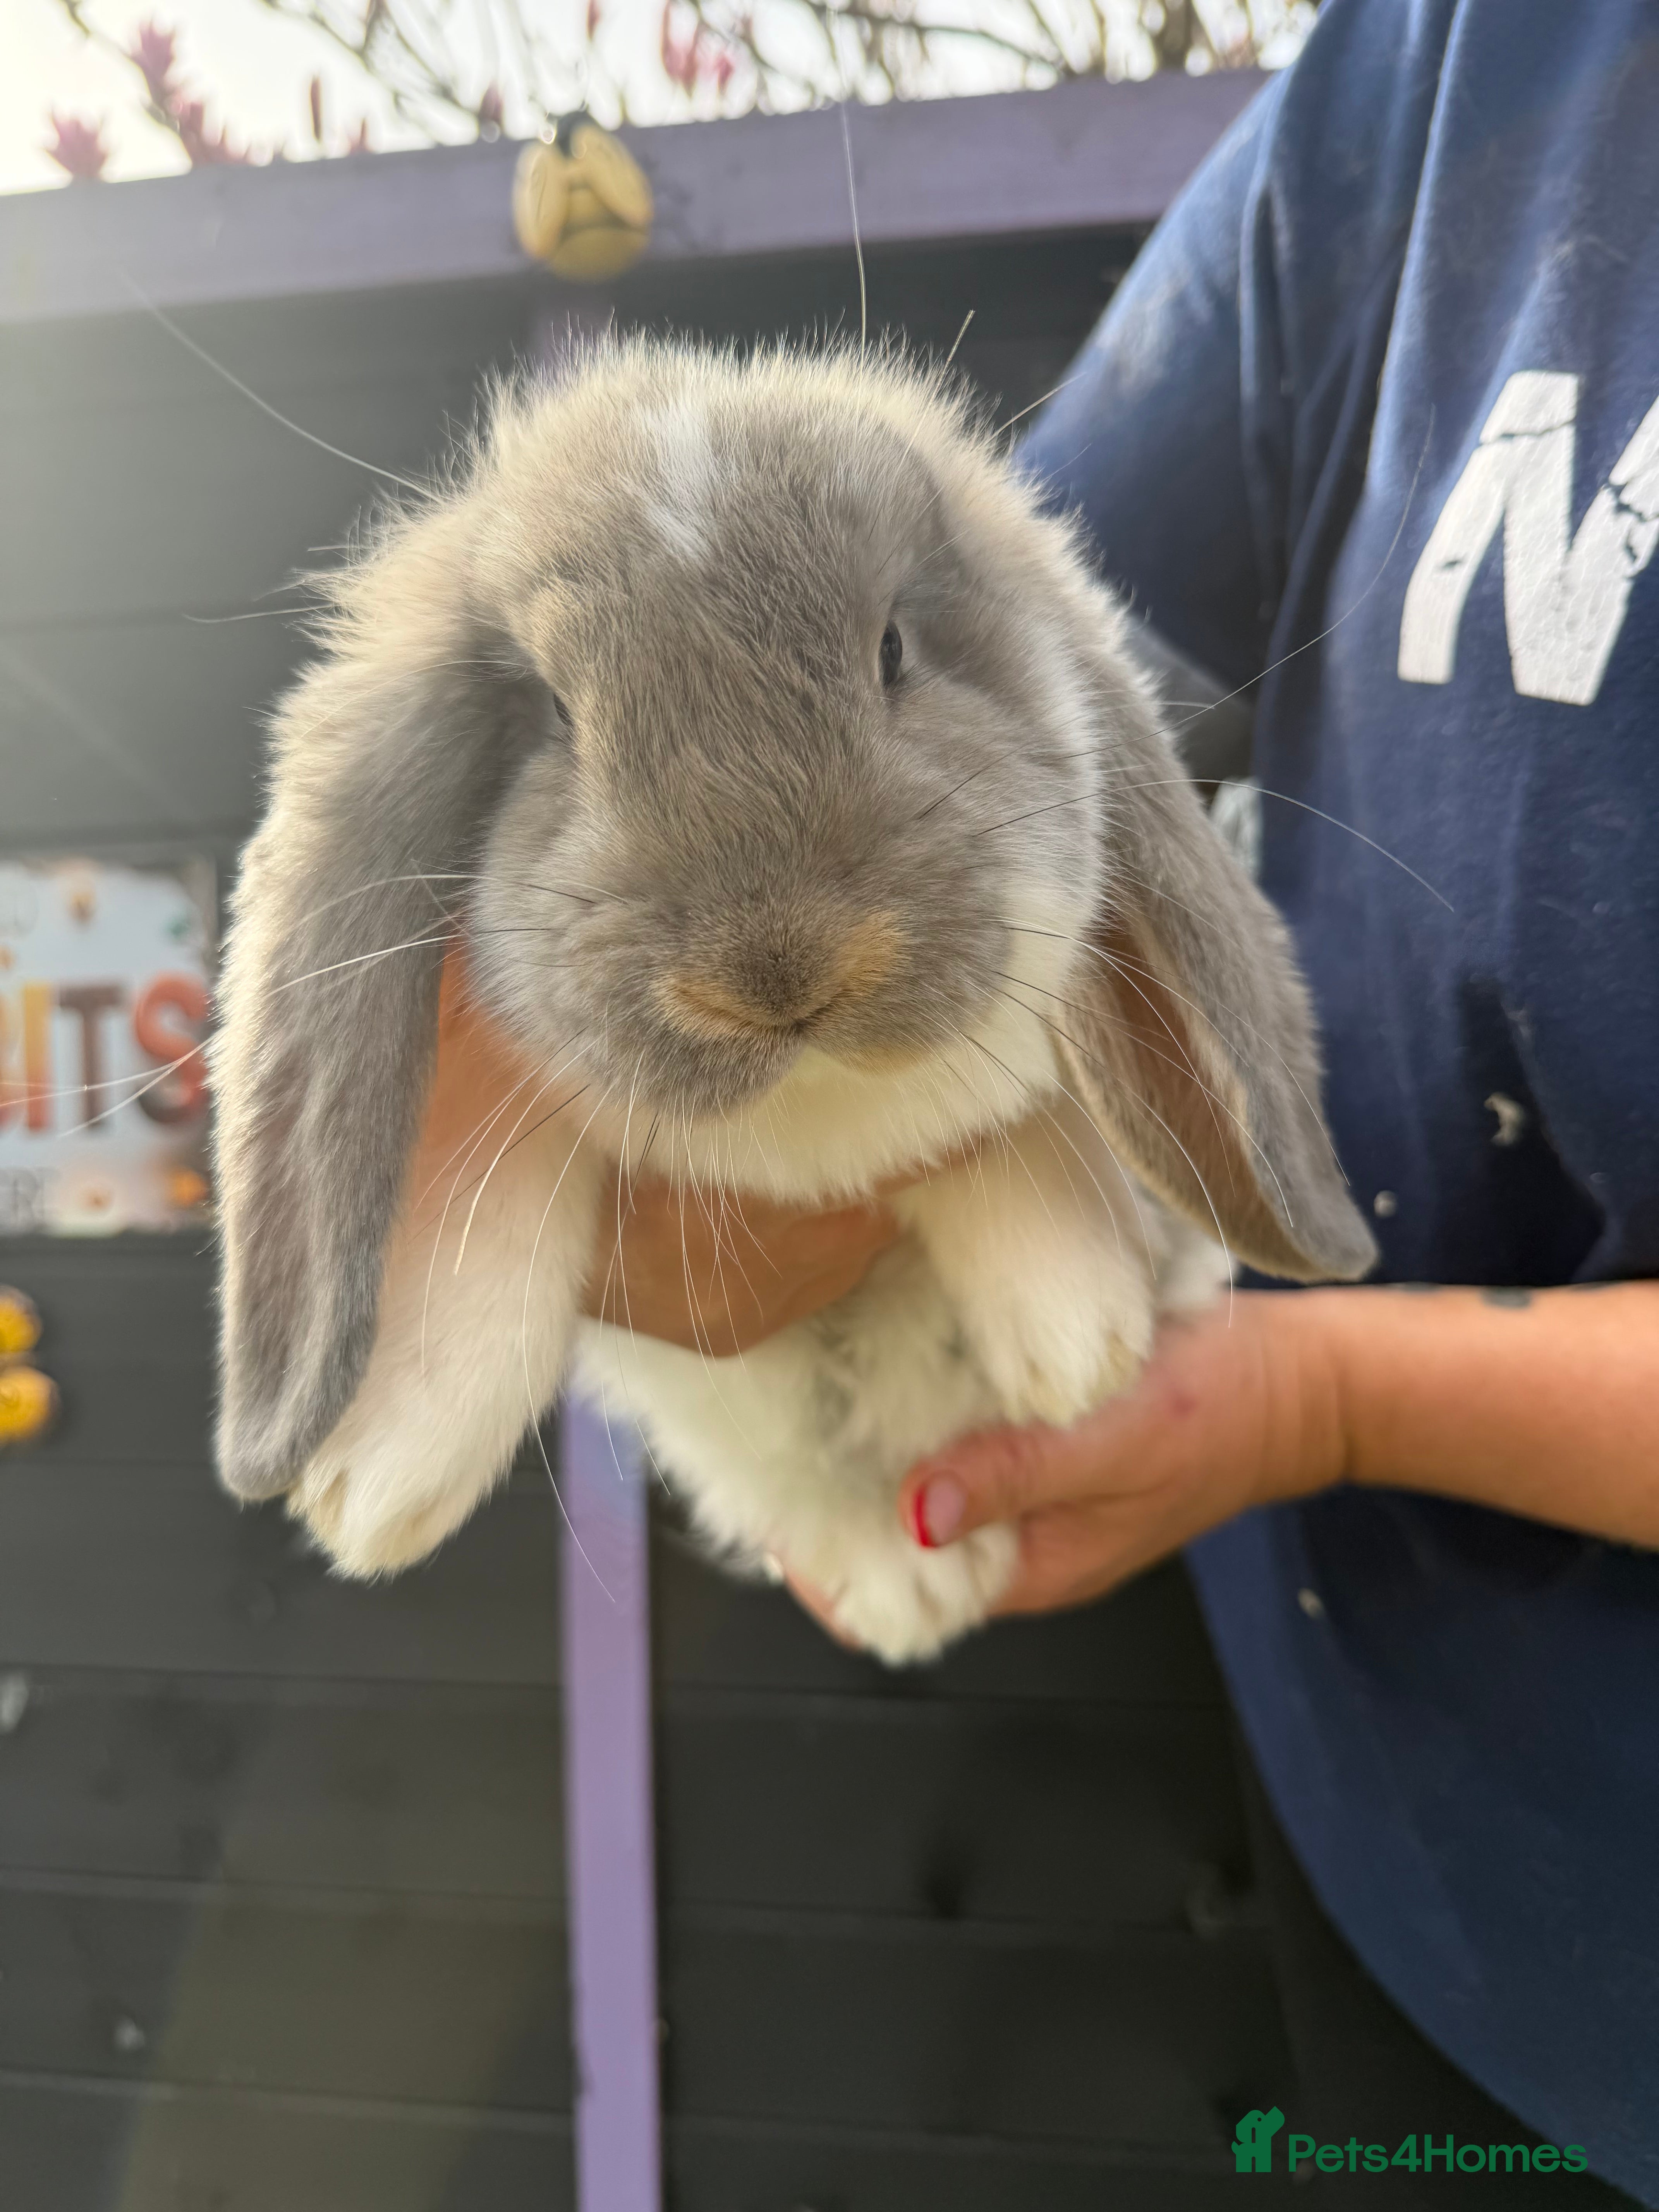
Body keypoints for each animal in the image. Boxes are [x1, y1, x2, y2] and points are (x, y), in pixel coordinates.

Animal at [212, 339, 1376, 1665]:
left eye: (893, 651)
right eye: (554, 715)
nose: (774, 971)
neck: (816, 1121)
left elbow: (1022, 1126)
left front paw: (1078, 1341)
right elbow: (488, 1195)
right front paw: (382, 1477)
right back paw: (906, 1585)